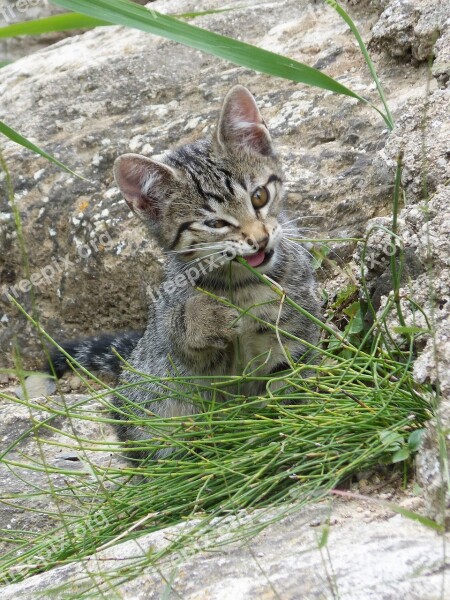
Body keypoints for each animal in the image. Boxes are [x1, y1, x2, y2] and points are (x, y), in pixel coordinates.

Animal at [31, 85, 322, 460]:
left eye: (259, 196)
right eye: (214, 224)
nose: (259, 240)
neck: (243, 285)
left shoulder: (295, 333)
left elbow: (289, 384)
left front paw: (289, 427)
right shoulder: (179, 349)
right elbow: (178, 330)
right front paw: (204, 318)